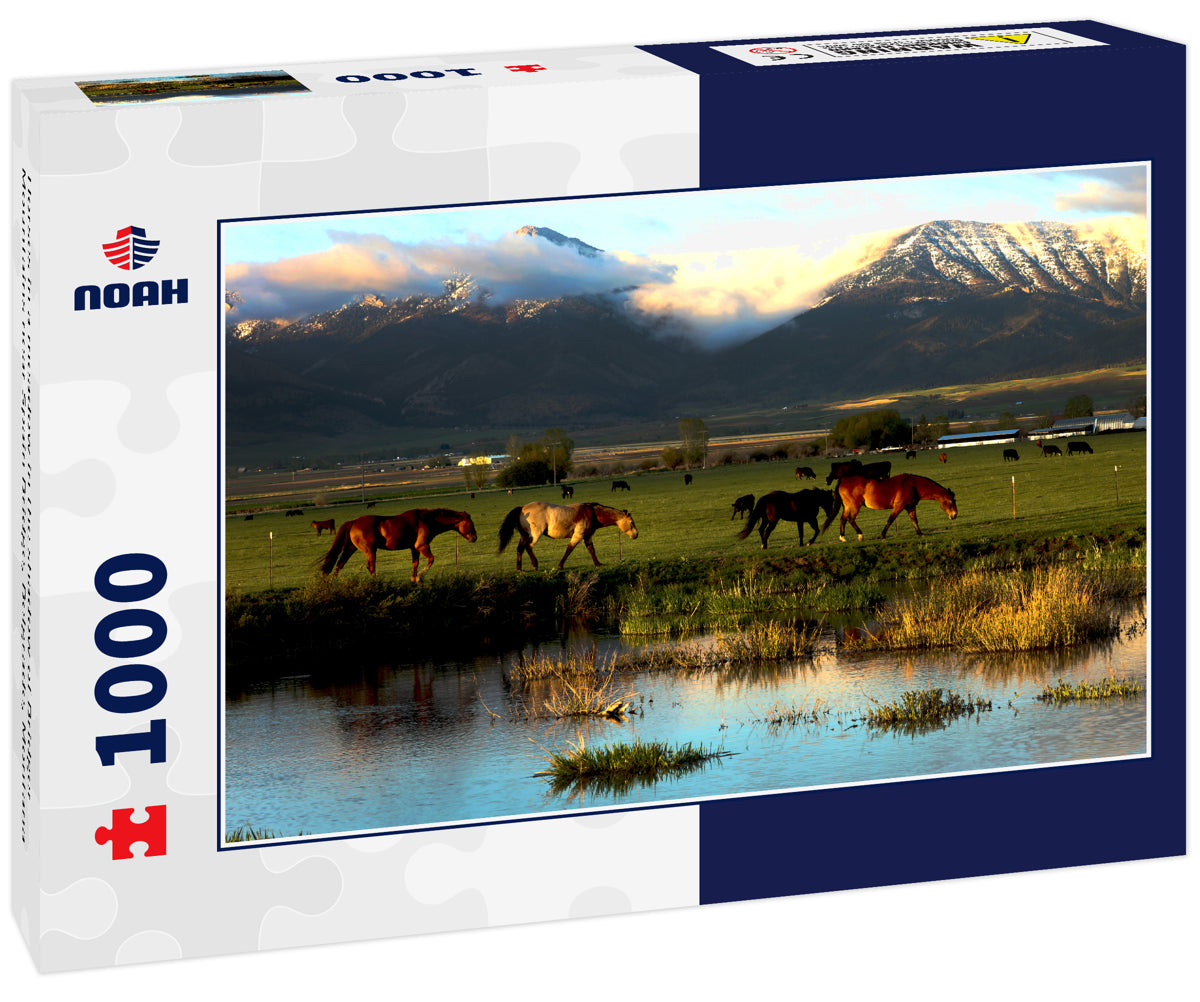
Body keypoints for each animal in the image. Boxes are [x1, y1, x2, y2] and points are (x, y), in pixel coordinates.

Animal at [319, 508, 477, 580]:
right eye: (471, 524)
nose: (474, 538)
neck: (427, 520)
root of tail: (353, 522)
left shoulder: (414, 548)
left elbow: (415, 563)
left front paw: (414, 579)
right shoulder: (422, 546)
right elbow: (431, 560)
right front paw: (420, 576)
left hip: (350, 549)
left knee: (339, 564)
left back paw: (332, 583)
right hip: (370, 551)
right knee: (370, 567)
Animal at [496, 501, 638, 571]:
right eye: (631, 523)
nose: (636, 535)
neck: (592, 513)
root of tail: (522, 508)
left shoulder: (587, 536)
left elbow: (591, 550)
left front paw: (598, 564)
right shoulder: (578, 535)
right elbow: (569, 549)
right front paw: (560, 566)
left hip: (524, 536)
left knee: (520, 549)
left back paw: (519, 569)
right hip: (535, 535)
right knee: (529, 547)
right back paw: (535, 565)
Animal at [825, 475, 955, 544]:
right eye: (951, 501)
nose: (954, 515)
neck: (913, 485)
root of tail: (843, 480)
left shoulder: (910, 506)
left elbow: (914, 520)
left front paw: (920, 533)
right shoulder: (899, 506)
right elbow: (890, 520)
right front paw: (882, 536)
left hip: (847, 506)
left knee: (843, 519)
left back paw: (843, 537)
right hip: (854, 506)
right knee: (850, 519)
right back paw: (860, 535)